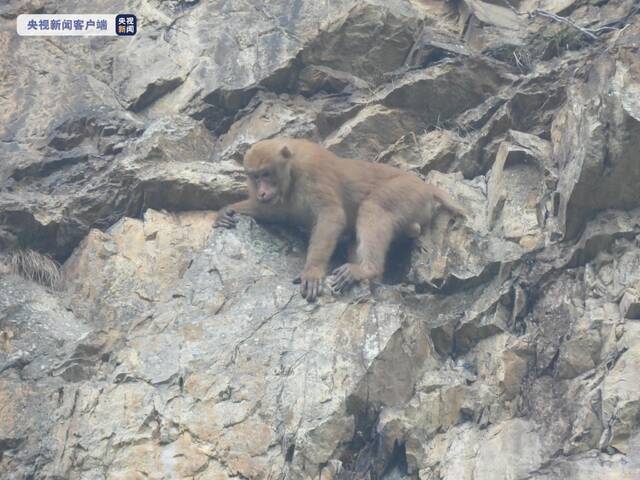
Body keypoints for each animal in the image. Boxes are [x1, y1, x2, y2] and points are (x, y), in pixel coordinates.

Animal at [215, 138, 464, 300]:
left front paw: (313, 270)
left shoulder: (313, 171)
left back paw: (367, 269)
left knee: (374, 208)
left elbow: (331, 217)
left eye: (266, 174)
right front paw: (226, 211)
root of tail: (427, 187)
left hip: (406, 192)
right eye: (255, 177)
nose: (262, 192)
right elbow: (271, 212)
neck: (291, 171)